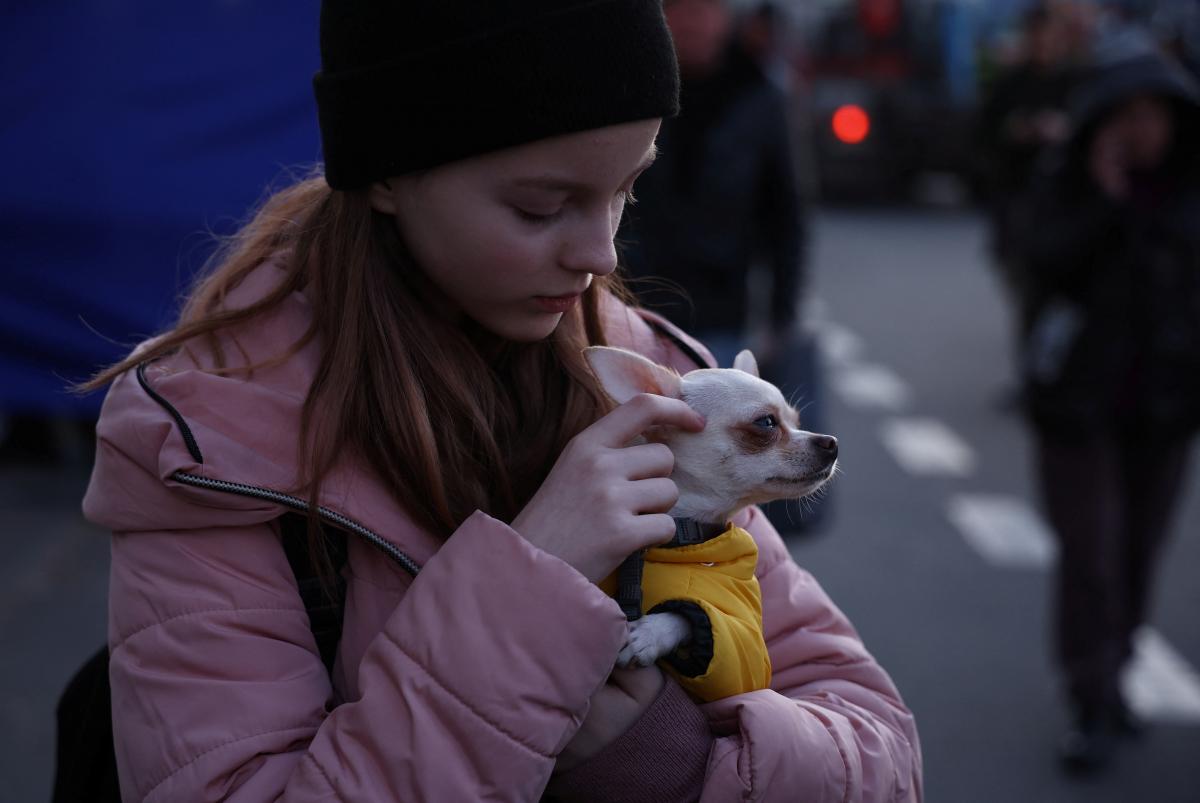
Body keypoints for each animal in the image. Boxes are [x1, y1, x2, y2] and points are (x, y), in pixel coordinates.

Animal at [585, 345, 840, 672]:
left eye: (796, 421)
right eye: (767, 422)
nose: (832, 443)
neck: (679, 530)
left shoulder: (743, 629)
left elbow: (704, 620)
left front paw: (651, 633)